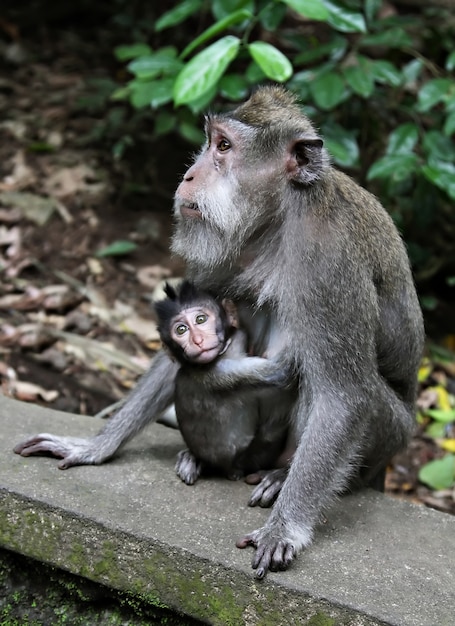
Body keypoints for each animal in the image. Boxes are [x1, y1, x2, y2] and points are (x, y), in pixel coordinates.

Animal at [155, 280, 294, 486]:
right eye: (181, 330)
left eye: (201, 319)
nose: (197, 340)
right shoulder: (223, 370)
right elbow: (284, 371)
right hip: (252, 458)